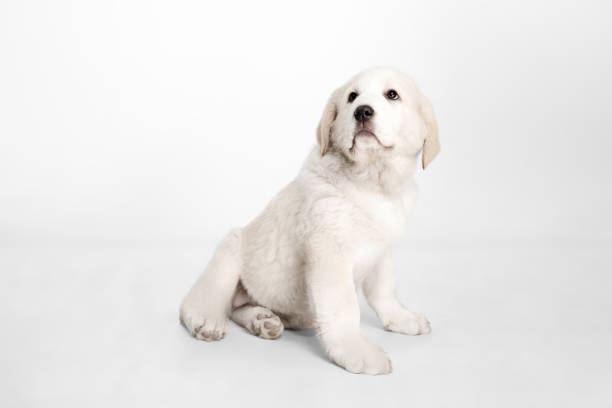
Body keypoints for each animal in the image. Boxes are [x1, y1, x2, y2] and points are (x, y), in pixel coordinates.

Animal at [178, 67, 440, 376]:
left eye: (392, 95)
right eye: (352, 97)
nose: (362, 112)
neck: (372, 183)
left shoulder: (382, 251)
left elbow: (385, 292)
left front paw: (401, 319)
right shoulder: (330, 252)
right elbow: (344, 307)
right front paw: (356, 350)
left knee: (238, 307)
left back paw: (262, 320)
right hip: (230, 249)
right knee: (203, 297)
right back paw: (206, 319)